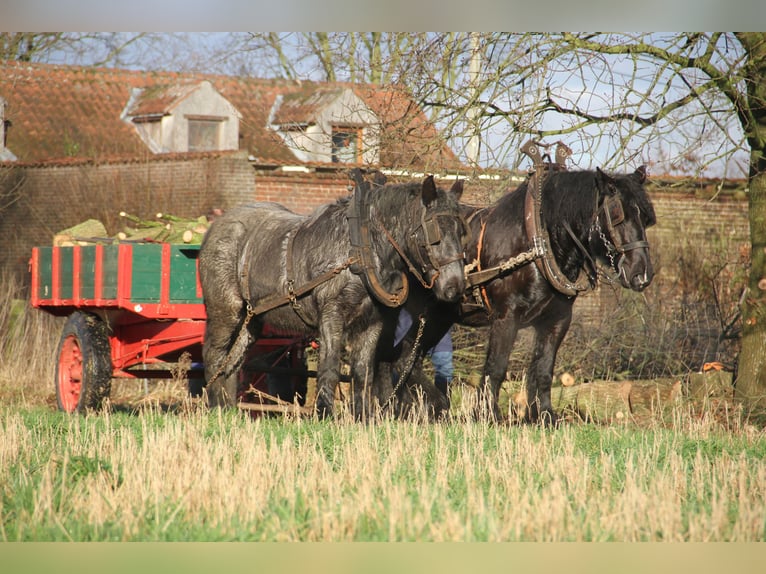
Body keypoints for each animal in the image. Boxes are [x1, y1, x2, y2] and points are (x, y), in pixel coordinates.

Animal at [198, 170, 467, 419]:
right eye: (434, 232)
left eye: (461, 231)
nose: (455, 287)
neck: (362, 250)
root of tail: (214, 228)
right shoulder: (331, 315)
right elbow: (329, 368)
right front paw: (325, 414)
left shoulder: (373, 323)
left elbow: (363, 373)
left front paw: (364, 418)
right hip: (226, 312)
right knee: (214, 356)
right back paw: (215, 408)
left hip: (251, 321)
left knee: (232, 363)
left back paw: (229, 410)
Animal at [377, 154, 656, 425]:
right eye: (617, 215)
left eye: (646, 218)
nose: (642, 274)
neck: (539, 241)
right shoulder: (506, 316)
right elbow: (496, 367)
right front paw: (488, 414)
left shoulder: (556, 320)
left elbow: (543, 369)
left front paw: (544, 416)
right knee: (401, 356)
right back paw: (427, 405)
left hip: (439, 317)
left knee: (406, 355)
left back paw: (413, 407)